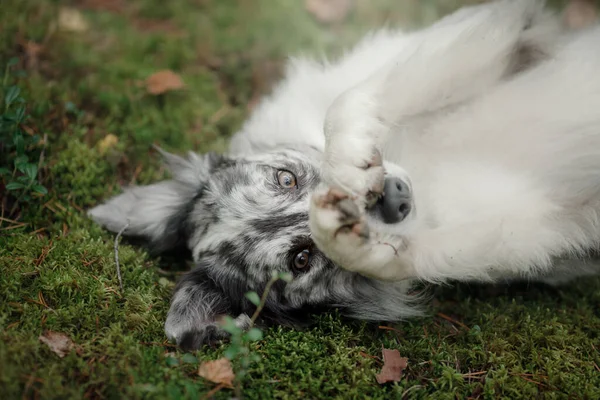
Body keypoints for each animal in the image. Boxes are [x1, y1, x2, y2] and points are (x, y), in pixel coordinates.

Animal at [88, 0, 600, 350]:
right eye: (302, 259)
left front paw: (352, 157)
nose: (393, 198)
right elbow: (421, 256)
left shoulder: (511, 27)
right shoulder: (547, 229)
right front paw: (361, 244)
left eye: (286, 178)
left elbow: (346, 103)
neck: (424, 170)